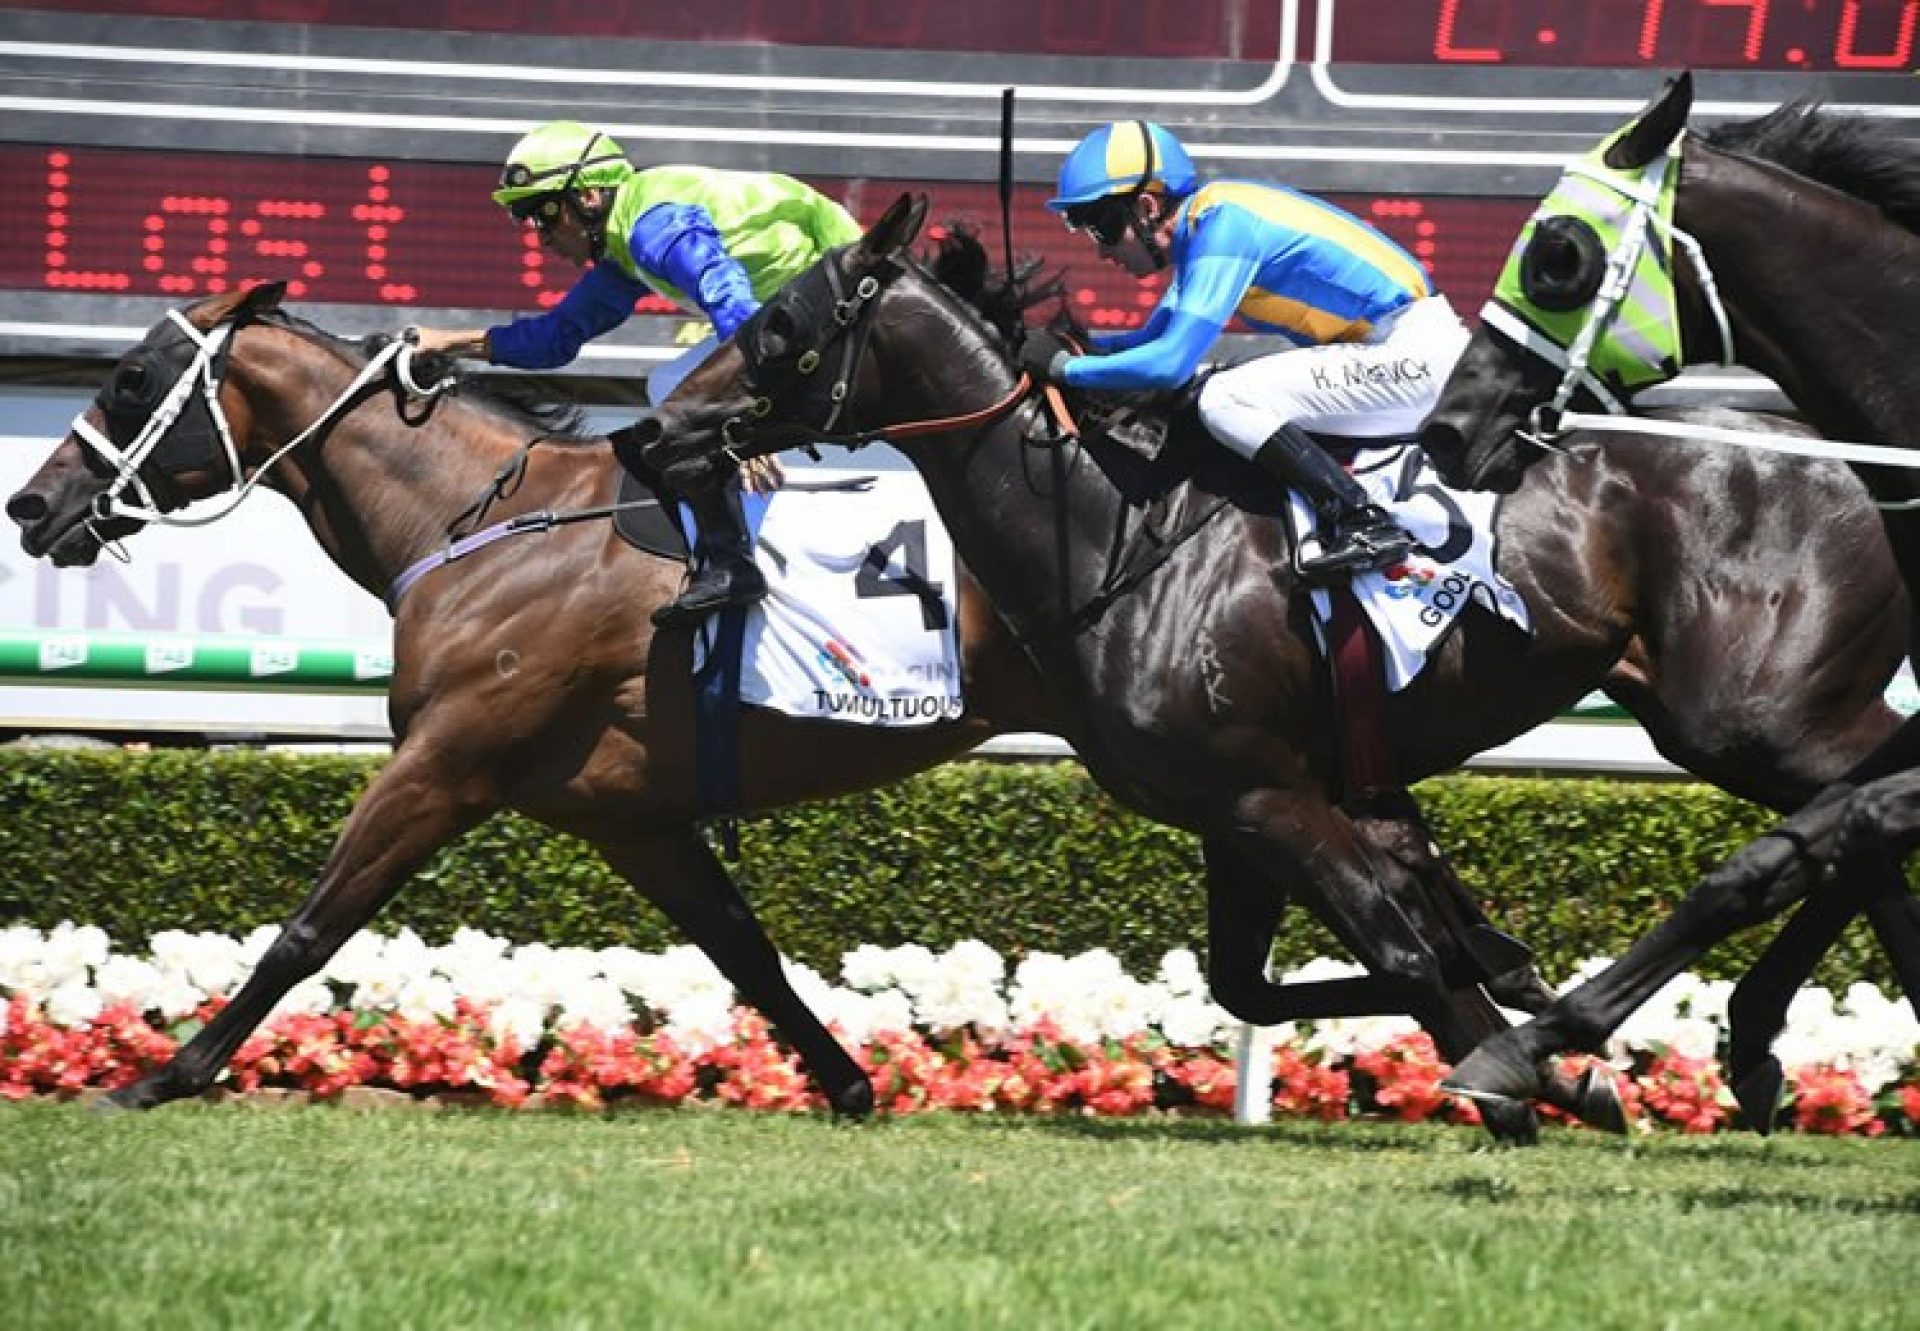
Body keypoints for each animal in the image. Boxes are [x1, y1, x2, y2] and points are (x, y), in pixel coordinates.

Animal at [633, 192, 1904, 1137]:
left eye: (777, 324)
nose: (650, 431)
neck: (1115, 532)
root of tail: (1833, 451)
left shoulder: (1270, 793)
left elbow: (1396, 938)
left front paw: (1518, 1071)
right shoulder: (1233, 808)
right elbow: (1290, 968)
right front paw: (1539, 1022)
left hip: (1758, 712)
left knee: (1856, 813)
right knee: (1862, 827)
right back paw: (1753, 1046)